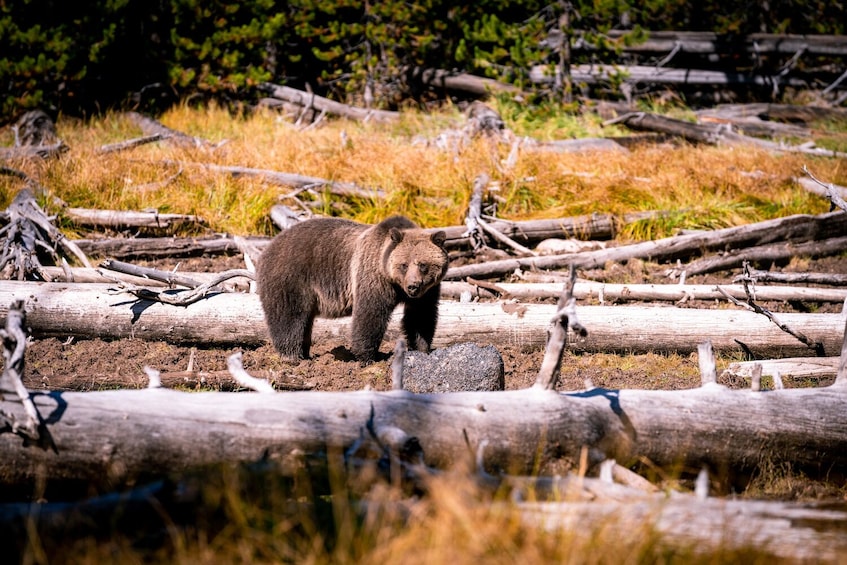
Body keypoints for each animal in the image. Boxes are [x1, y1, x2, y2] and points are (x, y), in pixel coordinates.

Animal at [256, 215, 449, 363]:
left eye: (423, 264)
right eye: (404, 265)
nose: (412, 286)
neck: (395, 283)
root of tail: (269, 246)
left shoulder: (427, 292)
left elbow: (421, 316)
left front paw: (422, 348)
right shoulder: (373, 277)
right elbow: (370, 314)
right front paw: (366, 356)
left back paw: (304, 353)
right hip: (291, 277)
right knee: (289, 316)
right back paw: (292, 356)